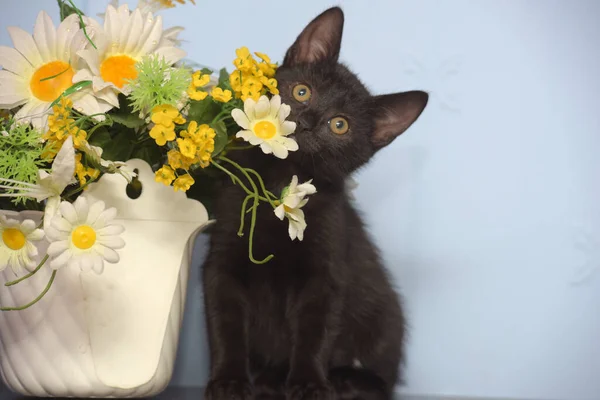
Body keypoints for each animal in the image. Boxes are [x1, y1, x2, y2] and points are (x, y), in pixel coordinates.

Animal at [202, 6, 426, 400]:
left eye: (339, 125)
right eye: (302, 91)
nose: (306, 121)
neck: (278, 187)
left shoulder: (327, 273)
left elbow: (314, 332)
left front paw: (309, 383)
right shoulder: (222, 261)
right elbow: (224, 325)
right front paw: (228, 380)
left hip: (385, 315)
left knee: (382, 377)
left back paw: (345, 379)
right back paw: (269, 378)